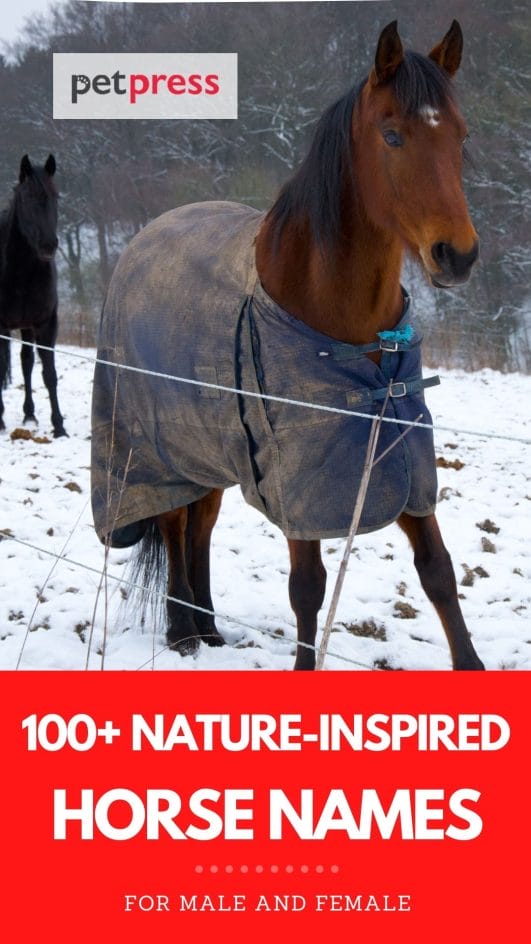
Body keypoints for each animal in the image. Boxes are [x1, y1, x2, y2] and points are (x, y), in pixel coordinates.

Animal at [91, 21, 485, 671]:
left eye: (461, 133)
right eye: (392, 134)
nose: (458, 255)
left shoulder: (404, 462)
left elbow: (438, 572)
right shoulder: (298, 481)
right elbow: (308, 589)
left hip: (209, 450)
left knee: (200, 525)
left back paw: (209, 628)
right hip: (157, 450)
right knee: (173, 523)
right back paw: (181, 632)